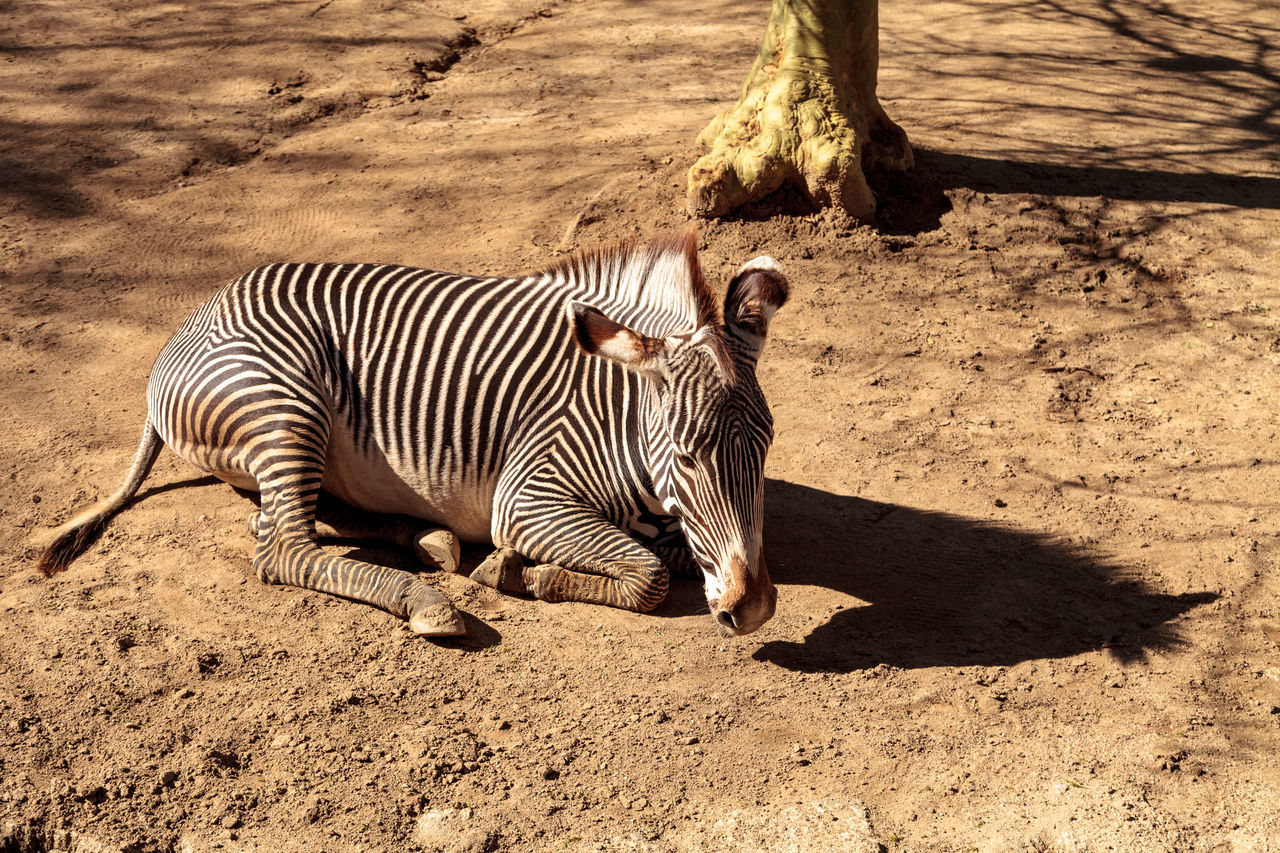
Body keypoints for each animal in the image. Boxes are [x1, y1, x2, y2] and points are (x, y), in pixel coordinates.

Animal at [35, 229, 783, 635]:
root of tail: (192, 319)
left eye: (767, 448)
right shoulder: (528, 496)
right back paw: (423, 597)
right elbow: (651, 571)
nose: (752, 611)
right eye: (686, 455)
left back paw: (427, 539)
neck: (618, 409)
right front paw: (522, 572)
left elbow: (678, 551)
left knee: (299, 517)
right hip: (288, 401)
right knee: (284, 549)